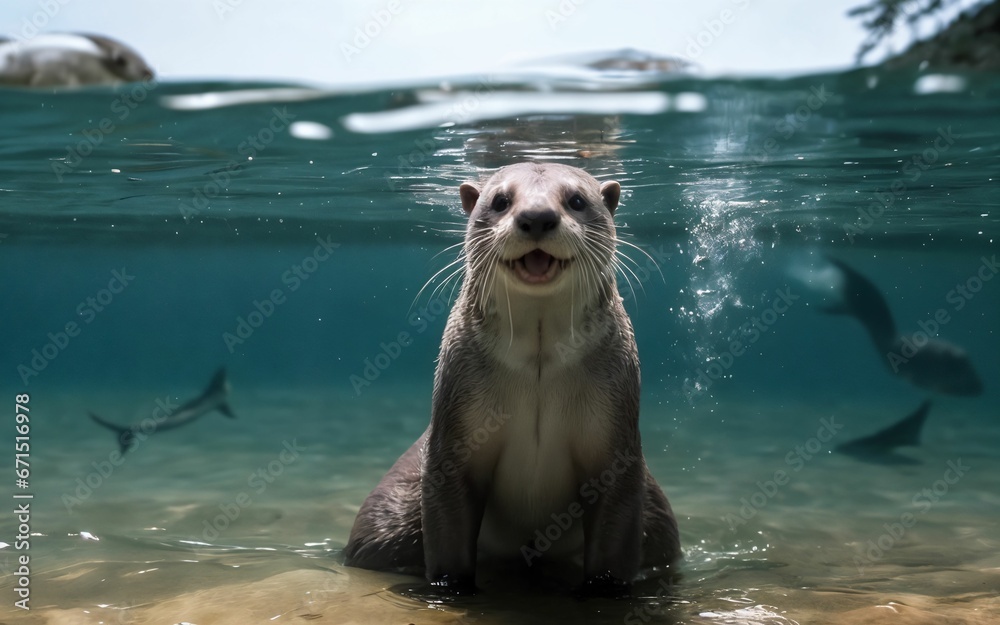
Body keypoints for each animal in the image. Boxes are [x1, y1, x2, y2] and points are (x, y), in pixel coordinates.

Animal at [345, 162, 680, 596]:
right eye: (501, 200)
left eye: (576, 200)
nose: (536, 217)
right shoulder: (452, 440)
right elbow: (448, 532)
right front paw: (452, 590)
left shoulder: (617, 447)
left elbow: (614, 538)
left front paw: (604, 591)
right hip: (388, 513)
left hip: (660, 524)